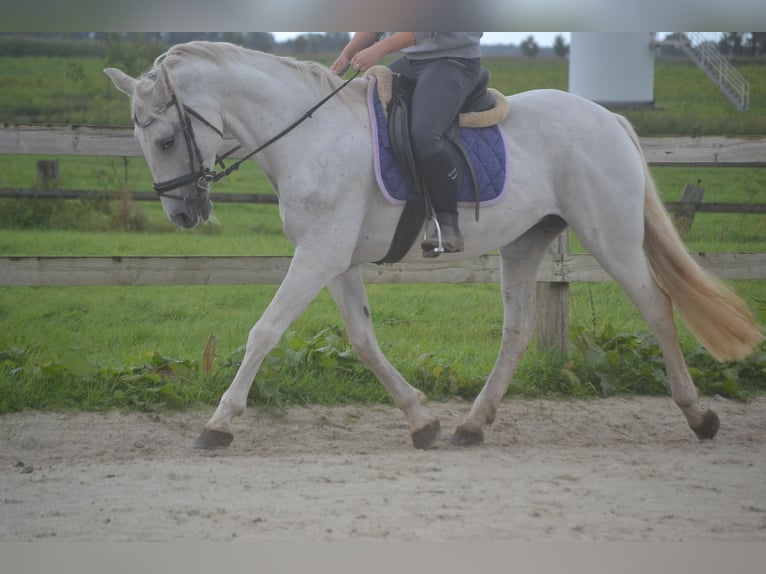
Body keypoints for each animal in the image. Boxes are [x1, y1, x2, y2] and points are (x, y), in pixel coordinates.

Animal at [105, 42, 764, 452]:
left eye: (165, 139)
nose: (182, 213)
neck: (309, 136)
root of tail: (610, 119)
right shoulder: (332, 260)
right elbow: (363, 340)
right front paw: (422, 420)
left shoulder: (318, 256)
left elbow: (264, 332)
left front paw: (218, 424)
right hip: (526, 242)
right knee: (518, 331)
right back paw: (473, 425)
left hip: (612, 236)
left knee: (657, 307)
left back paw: (700, 415)